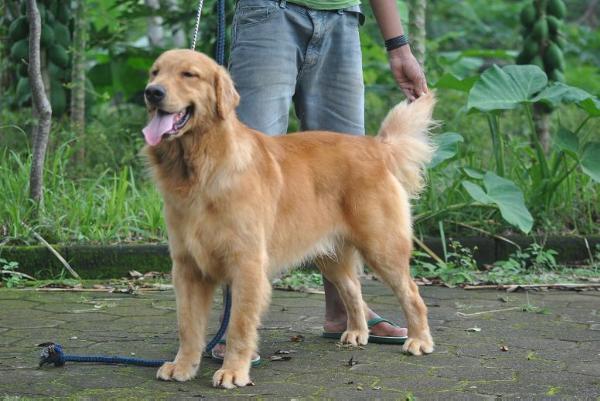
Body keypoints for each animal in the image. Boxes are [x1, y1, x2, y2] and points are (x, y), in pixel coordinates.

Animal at [145, 48, 436, 386]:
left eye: (189, 74)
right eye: (155, 72)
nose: (152, 92)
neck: (201, 168)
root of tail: (376, 147)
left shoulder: (247, 265)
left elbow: (239, 325)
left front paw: (233, 370)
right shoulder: (187, 267)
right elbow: (188, 325)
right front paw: (183, 365)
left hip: (382, 246)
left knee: (412, 294)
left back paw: (418, 340)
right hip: (329, 254)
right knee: (353, 288)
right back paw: (356, 331)